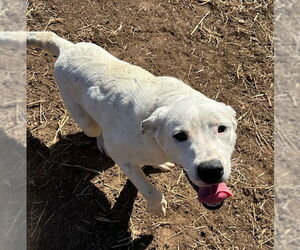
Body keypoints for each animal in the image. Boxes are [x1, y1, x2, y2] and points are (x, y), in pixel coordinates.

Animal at [1, 31, 238, 215]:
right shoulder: (122, 157)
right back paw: (102, 142)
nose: (211, 170)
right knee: (96, 129)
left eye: (222, 129)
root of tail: (68, 48)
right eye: (179, 136)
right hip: (85, 121)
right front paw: (156, 205)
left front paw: (158, 165)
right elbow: (146, 187)